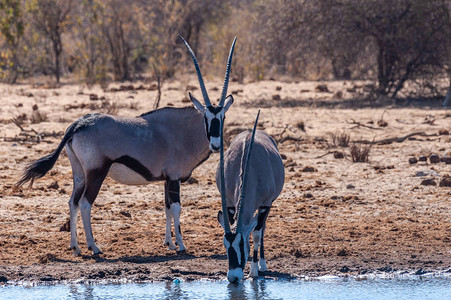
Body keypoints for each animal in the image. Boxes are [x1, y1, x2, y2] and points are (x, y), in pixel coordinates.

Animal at [15, 35, 238, 255]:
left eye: (222, 117)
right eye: (206, 117)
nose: (216, 145)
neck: (181, 132)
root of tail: (78, 124)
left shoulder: (166, 179)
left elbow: (166, 208)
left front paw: (169, 243)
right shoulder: (174, 178)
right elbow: (176, 208)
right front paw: (181, 246)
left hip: (79, 173)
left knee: (73, 202)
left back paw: (76, 247)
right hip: (96, 172)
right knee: (85, 203)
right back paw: (94, 247)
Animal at [217, 111, 284, 282]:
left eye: (241, 244)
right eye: (225, 245)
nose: (233, 277)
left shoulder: (266, 204)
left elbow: (256, 235)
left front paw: (253, 271)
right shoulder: (230, 205)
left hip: (267, 205)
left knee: (262, 228)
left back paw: (262, 264)